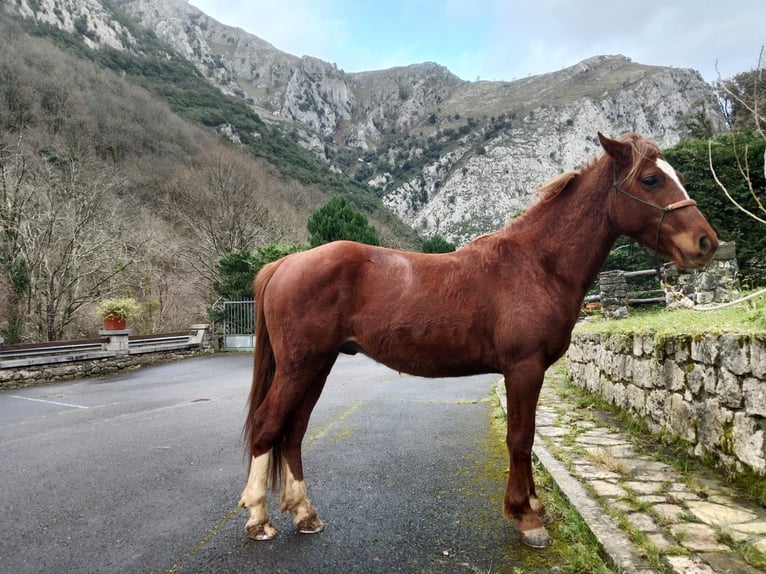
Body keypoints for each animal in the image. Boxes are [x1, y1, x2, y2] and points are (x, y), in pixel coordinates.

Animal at [242, 134, 720, 548]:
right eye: (651, 179)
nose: (707, 243)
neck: (537, 264)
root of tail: (285, 263)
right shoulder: (523, 368)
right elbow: (520, 438)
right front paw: (526, 518)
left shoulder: (529, 372)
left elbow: (527, 437)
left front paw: (535, 507)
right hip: (300, 367)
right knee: (268, 427)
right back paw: (259, 520)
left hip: (317, 366)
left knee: (293, 432)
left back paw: (305, 514)